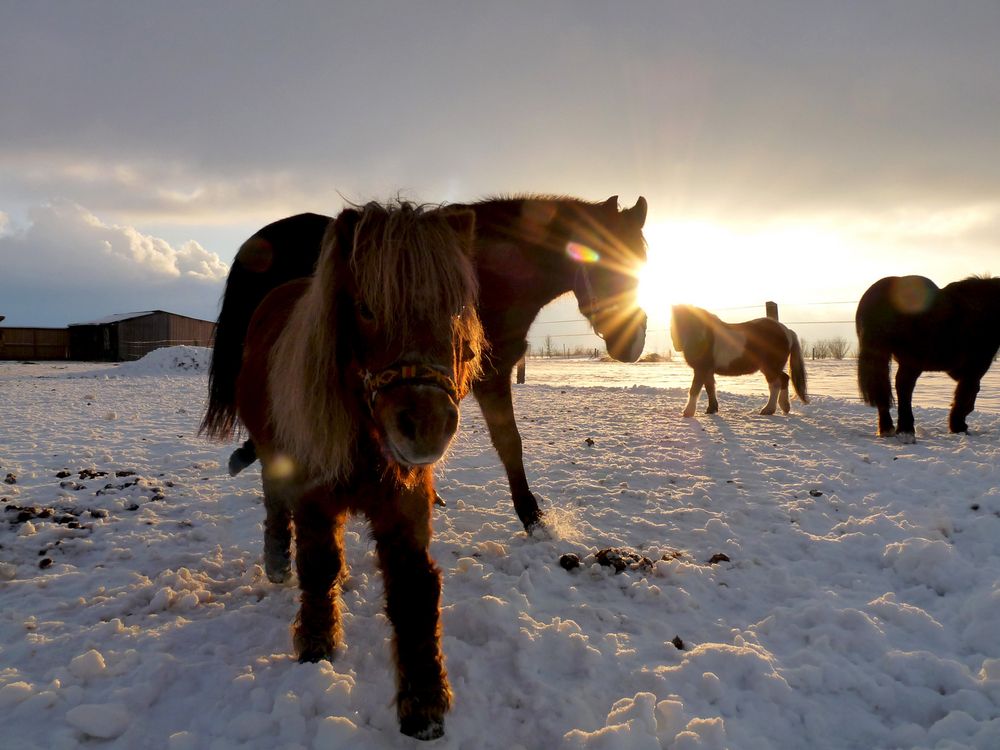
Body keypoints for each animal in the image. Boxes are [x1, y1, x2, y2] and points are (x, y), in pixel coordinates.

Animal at [203, 194, 648, 536]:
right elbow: (509, 443)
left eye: (641, 264)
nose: (634, 342)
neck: (493, 273)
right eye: (603, 265)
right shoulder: (489, 377)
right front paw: (531, 516)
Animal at [213, 203, 486, 744]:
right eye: (365, 308)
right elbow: (317, 565)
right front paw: (316, 646)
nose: (425, 425)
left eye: (454, 308)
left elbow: (415, 587)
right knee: (274, 503)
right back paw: (276, 561)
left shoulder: (405, 504)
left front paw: (424, 704)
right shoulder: (313, 495)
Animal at [668, 306, 808, 424]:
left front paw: (688, 412)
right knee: (784, 378)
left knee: (775, 385)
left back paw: (768, 410)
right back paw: (785, 407)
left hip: (770, 367)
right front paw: (711, 409)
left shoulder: (701, 369)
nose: (678, 345)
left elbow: (694, 389)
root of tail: (786, 331)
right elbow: (710, 388)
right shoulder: (707, 370)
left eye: (686, 321)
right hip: (771, 367)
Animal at [852, 274, 1000, 440]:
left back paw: (889, 428)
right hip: (912, 361)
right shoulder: (975, 365)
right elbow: (966, 393)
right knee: (904, 386)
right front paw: (958, 426)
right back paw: (905, 429)